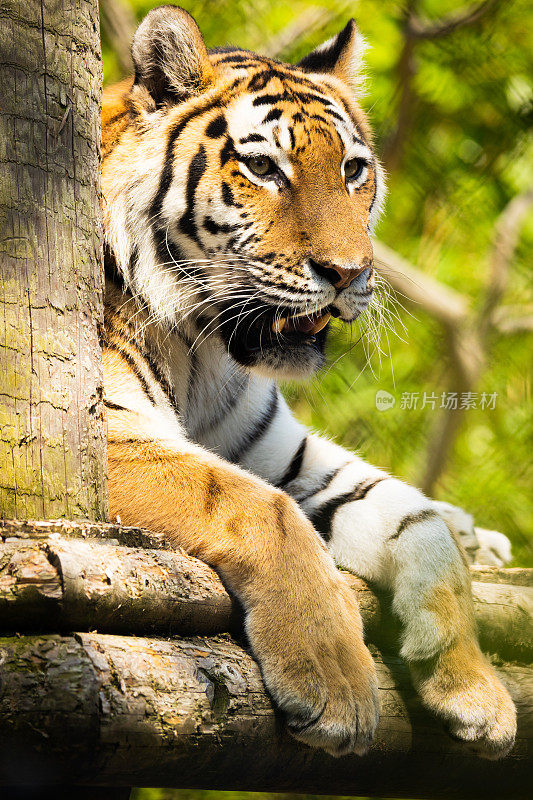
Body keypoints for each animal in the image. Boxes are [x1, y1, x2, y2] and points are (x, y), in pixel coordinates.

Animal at [101, 4, 516, 756]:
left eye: (353, 170)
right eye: (264, 167)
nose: (349, 273)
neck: (201, 350)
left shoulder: (279, 447)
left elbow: (415, 521)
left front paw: (474, 689)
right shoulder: (109, 440)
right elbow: (258, 506)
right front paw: (334, 684)